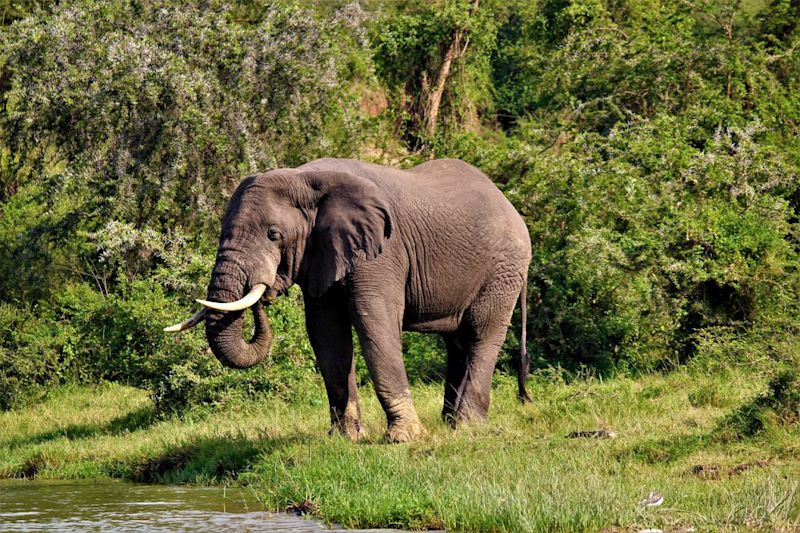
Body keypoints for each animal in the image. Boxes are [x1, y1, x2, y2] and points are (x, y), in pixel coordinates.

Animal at [164, 157, 532, 440]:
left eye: (274, 235)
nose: (264, 296)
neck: (306, 178)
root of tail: (509, 204)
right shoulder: (321, 254)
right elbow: (327, 334)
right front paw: (346, 438)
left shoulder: (383, 252)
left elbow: (375, 323)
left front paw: (404, 438)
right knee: (456, 342)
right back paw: (449, 424)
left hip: (505, 269)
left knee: (481, 334)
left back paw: (467, 427)